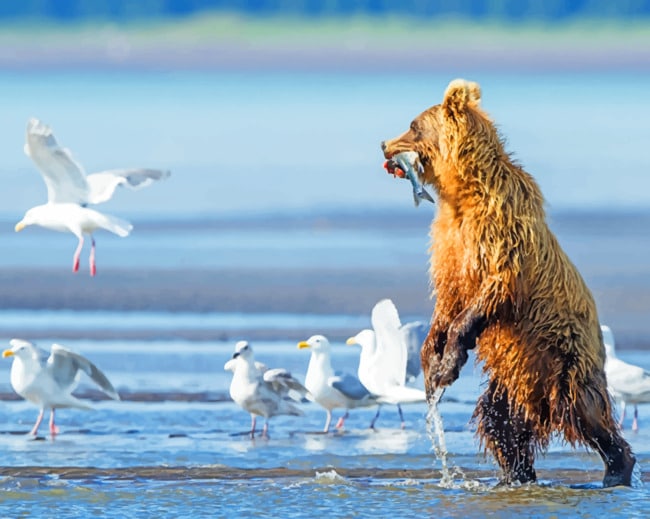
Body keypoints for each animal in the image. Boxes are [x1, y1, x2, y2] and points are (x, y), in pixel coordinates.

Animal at [381, 78, 635, 487]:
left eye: (413, 125)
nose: (384, 144)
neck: (463, 194)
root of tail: (538, 401)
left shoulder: (502, 236)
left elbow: (489, 294)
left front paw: (448, 364)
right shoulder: (450, 245)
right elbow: (448, 299)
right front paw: (430, 356)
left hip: (565, 358)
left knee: (587, 413)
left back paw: (616, 469)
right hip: (513, 380)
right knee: (501, 424)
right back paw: (515, 476)